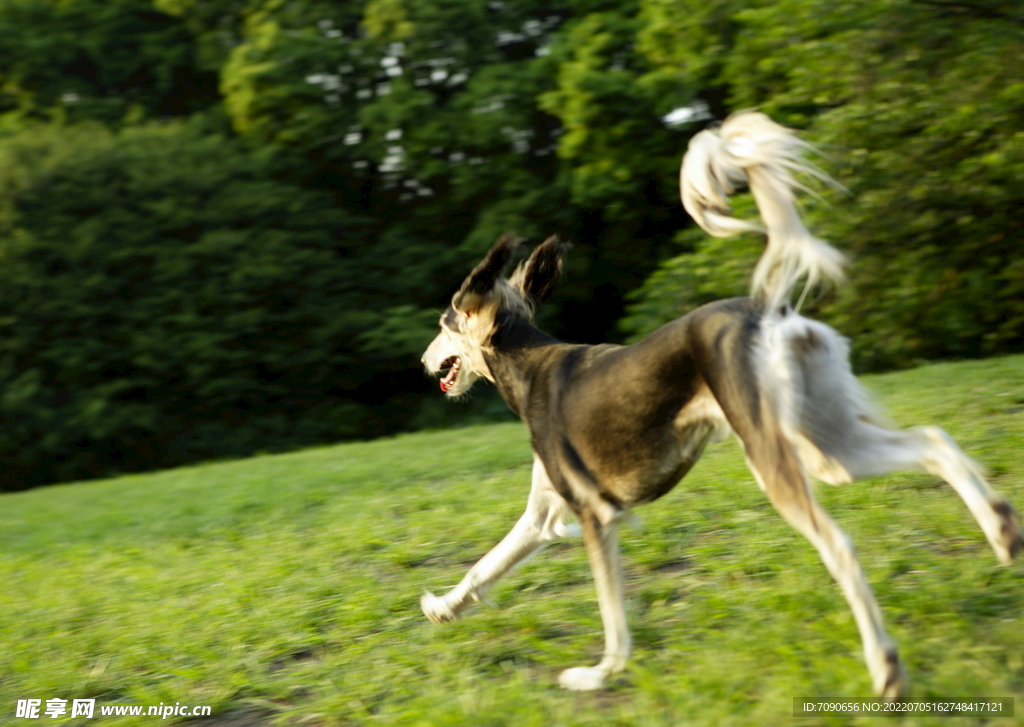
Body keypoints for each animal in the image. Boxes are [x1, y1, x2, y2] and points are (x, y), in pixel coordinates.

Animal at [417, 111, 1024, 696]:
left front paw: (600, 675)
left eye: (444, 324)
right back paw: (1001, 530)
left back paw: (887, 667)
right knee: (933, 441)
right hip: (829, 446)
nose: (424, 361)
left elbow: (614, 620)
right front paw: (443, 607)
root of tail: (767, 307)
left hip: (776, 454)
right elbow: (485, 567)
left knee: (843, 545)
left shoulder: (596, 515)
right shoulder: (545, 513)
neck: (529, 364)